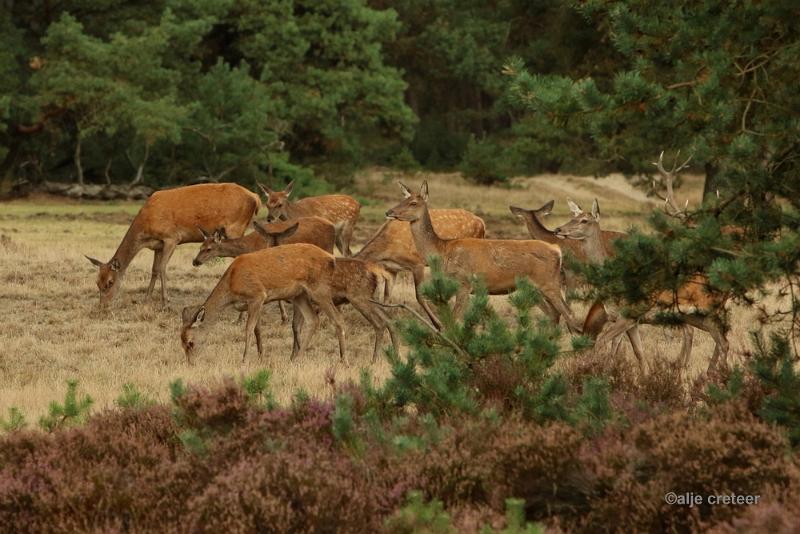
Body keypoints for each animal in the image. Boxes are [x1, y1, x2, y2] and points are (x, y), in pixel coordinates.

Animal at [85, 184, 260, 310]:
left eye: (110, 282)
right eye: (97, 282)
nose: (102, 306)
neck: (145, 230)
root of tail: (256, 197)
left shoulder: (172, 238)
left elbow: (162, 267)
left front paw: (165, 304)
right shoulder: (157, 245)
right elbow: (154, 270)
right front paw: (146, 300)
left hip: (235, 227)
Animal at [181, 245, 346, 366]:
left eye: (191, 342)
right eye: (181, 343)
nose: (191, 363)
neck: (232, 286)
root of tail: (331, 258)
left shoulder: (257, 295)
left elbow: (248, 329)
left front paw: (244, 360)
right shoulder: (254, 303)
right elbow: (257, 329)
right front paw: (260, 357)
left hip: (319, 289)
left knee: (338, 319)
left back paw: (344, 360)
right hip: (299, 295)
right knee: (313, 320)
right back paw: (298, 358)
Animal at [356, 205, 488, 328]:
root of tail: (482, 222)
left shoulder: (417, 263)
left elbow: (419, 296)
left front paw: (438, 324)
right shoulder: (392, 269)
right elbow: (386, 298)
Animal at [552, 198, 728, 376]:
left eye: (584, 220)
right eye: (573, 217)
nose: (558, 229)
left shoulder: (629, 314)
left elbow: (601, 342)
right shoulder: (631, 321)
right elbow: (639, 353)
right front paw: (645, 378)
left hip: (709, 309)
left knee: (723, 342)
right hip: (693, 316)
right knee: (719, 340)